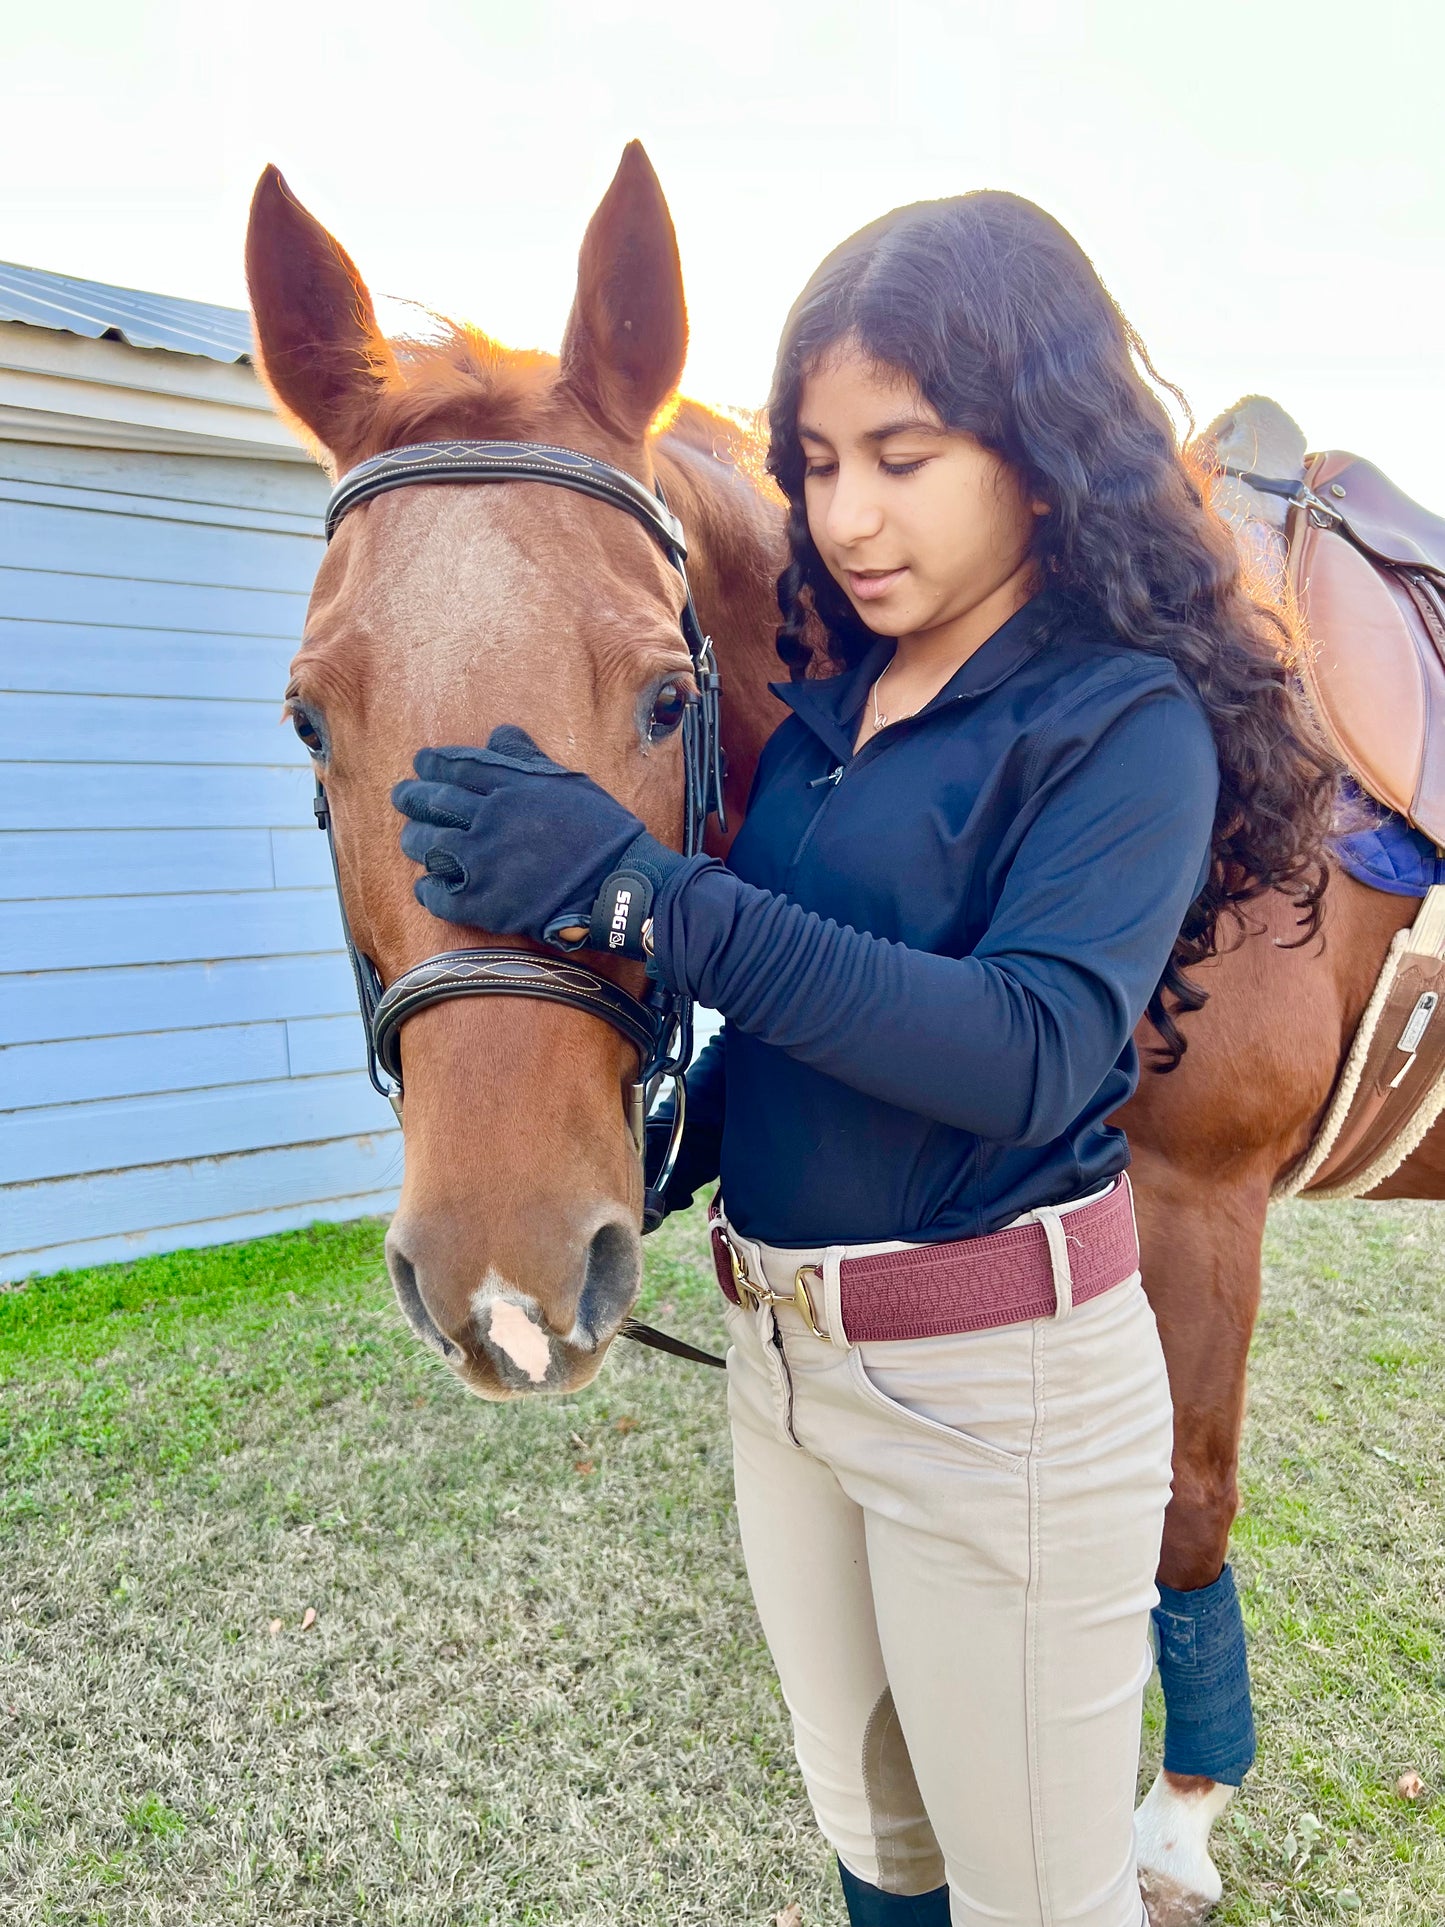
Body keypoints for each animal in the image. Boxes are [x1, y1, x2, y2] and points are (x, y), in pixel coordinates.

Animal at [246, 142, 1441, 1919]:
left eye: (667, 697)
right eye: (311, 718)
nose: (509, 1277)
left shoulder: (1199, 1200)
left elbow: (1186, 1505)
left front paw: (1178, 1816)